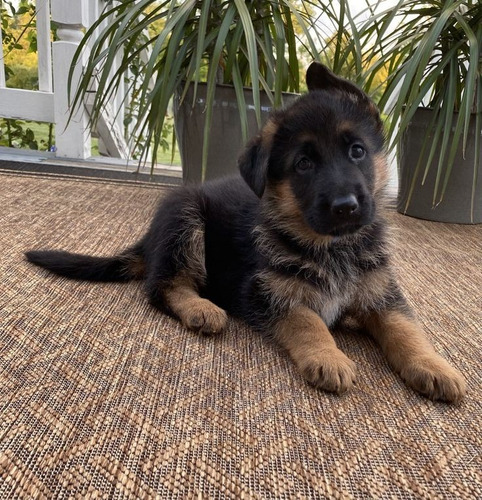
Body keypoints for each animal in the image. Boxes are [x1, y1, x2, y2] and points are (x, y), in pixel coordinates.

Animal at [25, 64, 464, 404]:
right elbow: (308, 320)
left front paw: (433, 365)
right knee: (162, 286)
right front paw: (329, 357)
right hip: (186, 221)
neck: (330, 246)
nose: (345, 207)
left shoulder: (382, 295)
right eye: (303, 164)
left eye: (357, 151)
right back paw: (200, 308)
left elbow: (406, 329)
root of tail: (148, 241)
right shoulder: (267, 293)